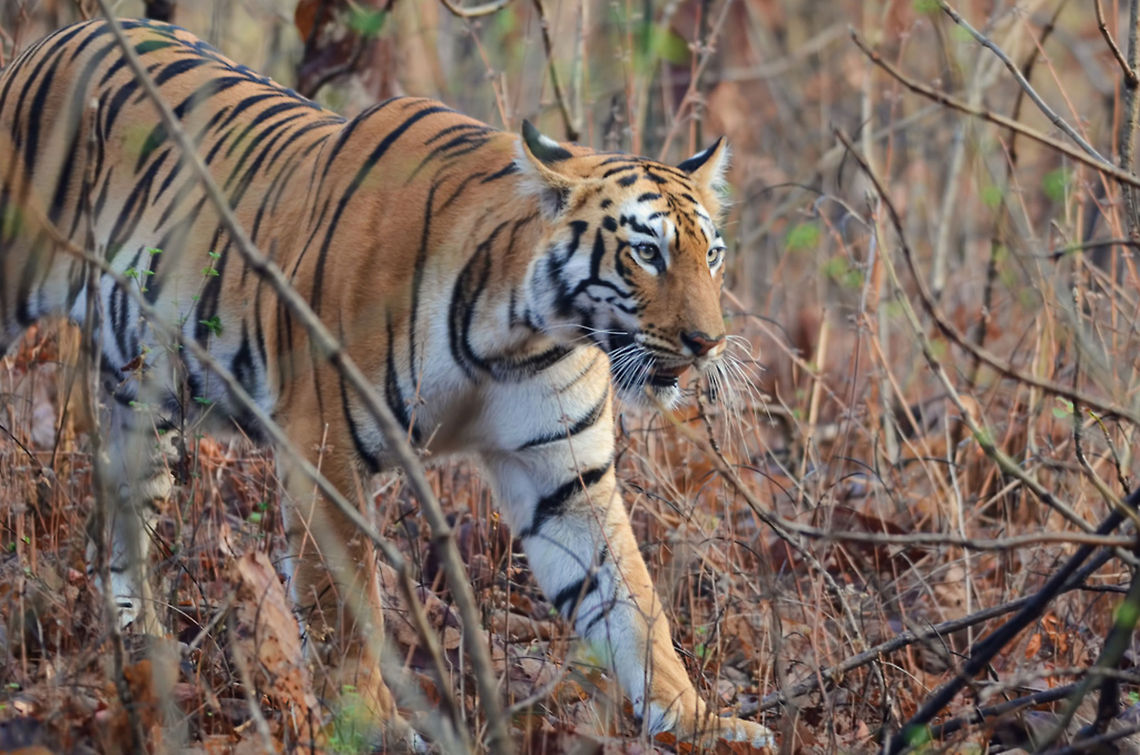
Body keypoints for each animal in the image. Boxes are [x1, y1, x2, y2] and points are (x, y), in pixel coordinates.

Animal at [0, 17, 774, 749]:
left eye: (713, 255)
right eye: (646, 253)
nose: (710, 342)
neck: (521, 336)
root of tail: (53, 38)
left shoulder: (566, 477)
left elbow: (635, 605)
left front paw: (700, 721)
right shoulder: (323, 445)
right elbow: (346, 598)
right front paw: (371, 724)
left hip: (145, 401)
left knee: (119, 524)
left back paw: (143, 647)